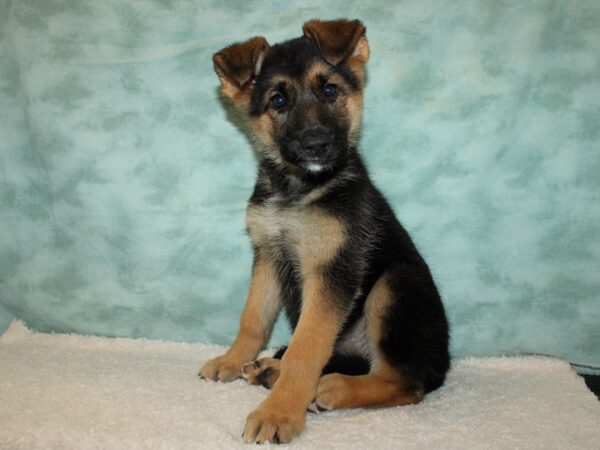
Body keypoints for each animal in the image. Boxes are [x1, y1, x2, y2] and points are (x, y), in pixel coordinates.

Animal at [199, 19, 448, 444]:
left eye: (330, 90)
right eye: (278, 101)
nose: (316, 144)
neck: (297, 191)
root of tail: (443, 364)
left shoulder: (332, 270)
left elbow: (306, 348)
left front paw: (280, 412)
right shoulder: (269, 255)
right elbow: (253, 318)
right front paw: (232, 360)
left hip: (396, 286)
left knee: (404, 382)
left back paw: (332, 386)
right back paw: (270, 369)